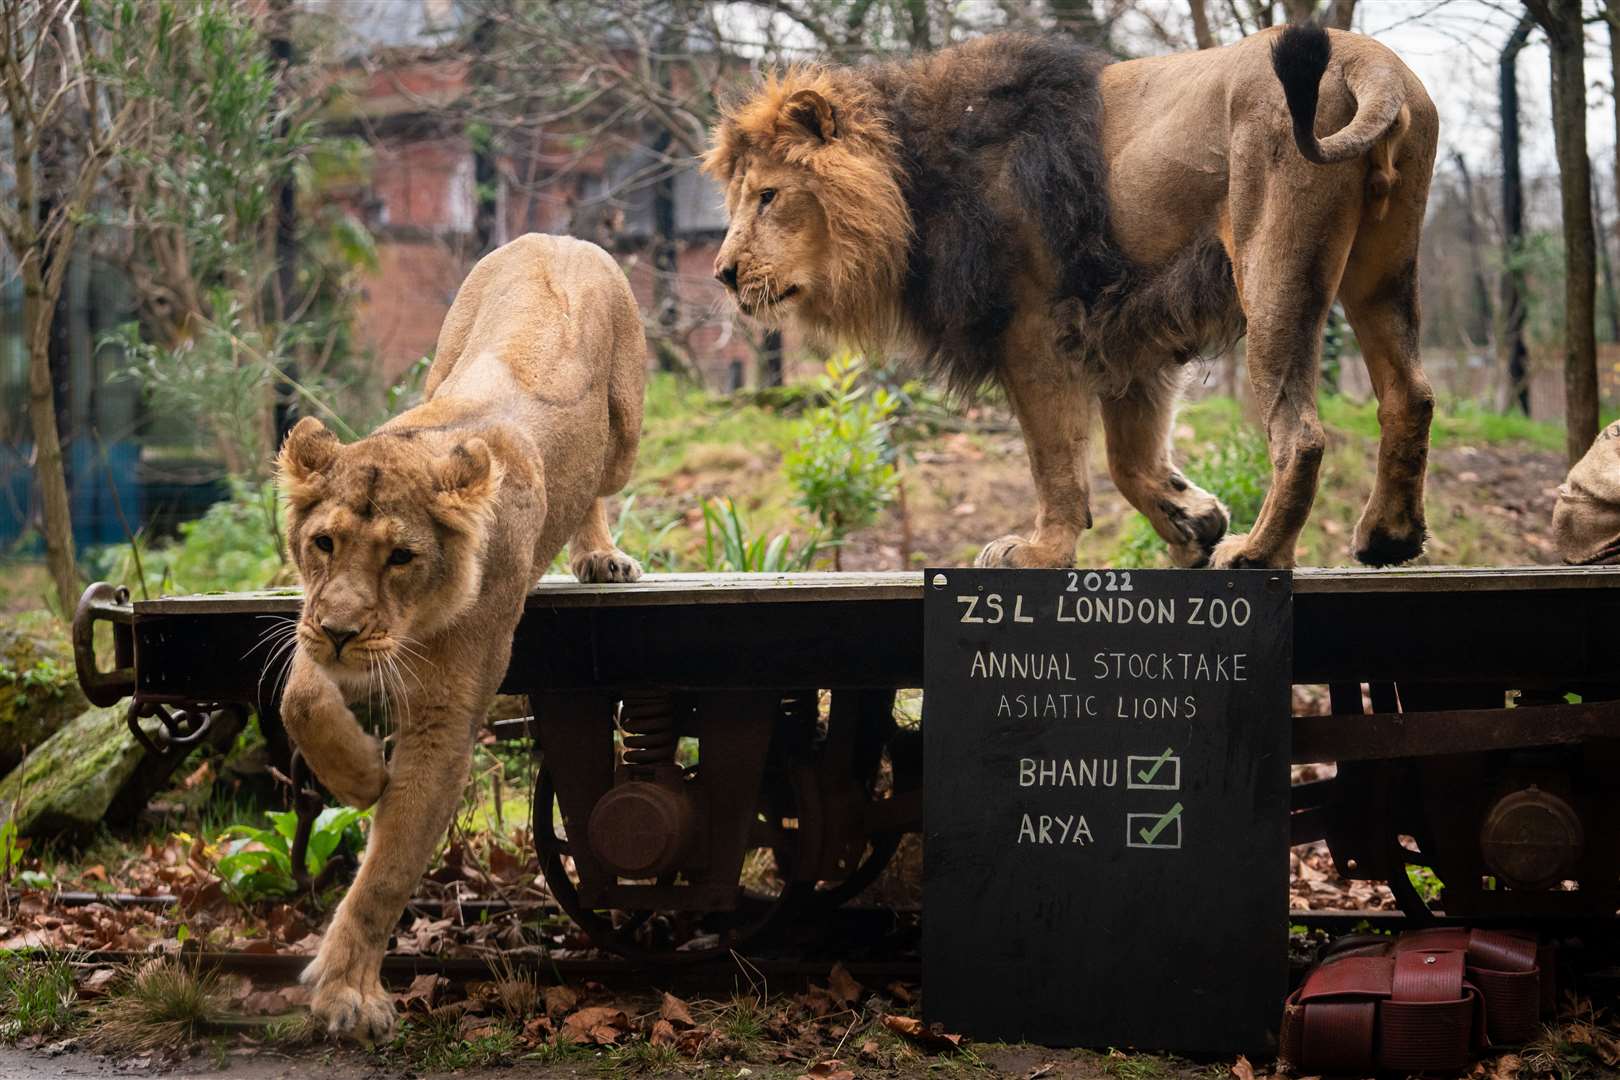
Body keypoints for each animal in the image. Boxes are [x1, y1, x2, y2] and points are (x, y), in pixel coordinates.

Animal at [275, 234, 641, 1036]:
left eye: (401, 557)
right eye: (323, 543)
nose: (343, 635)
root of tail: (558, 236)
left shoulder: (446, 720)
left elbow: (386, 872)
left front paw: (346, 991)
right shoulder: (314, 622)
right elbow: (302, 700)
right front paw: (360, 777)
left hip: (626, 431)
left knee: (600, 482)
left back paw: (601, 555)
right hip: (444, 354)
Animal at [703, 23, 1438, 566]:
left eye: (768, 196)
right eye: (734, 201)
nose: (724, 274)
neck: (910, 177)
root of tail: (1370, 61)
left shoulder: (1033, 330)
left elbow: (1054, 459)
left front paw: (1042, 551)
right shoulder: (1130, 333)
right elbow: (1128, 459)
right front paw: (1191, 521)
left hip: (1273, 269)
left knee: (1301, 434)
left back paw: (1255, 552)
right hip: (1381, 271)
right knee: (1411, 394)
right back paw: (1389, 537)